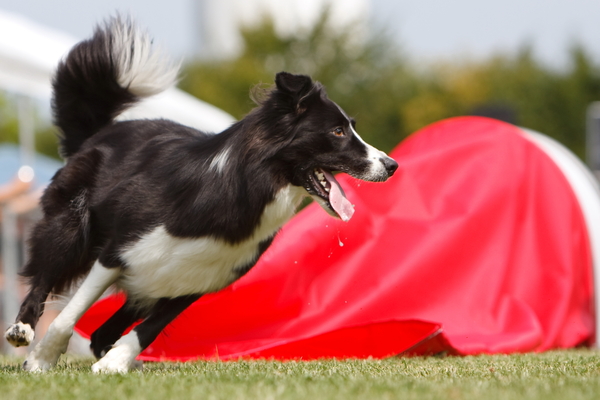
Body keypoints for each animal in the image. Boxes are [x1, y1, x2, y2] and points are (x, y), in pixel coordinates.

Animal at [5, 15, 398, 372]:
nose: (392, 165)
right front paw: (41, 360)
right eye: (337, 132)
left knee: (103, 332)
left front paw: (116, 363)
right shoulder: (118, 252)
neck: (245, 187)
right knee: (43, 279)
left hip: (151, 280)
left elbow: (148, 330)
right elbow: (68, 316)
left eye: (351, 128)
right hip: (71, 227)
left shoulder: (197, 278)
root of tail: (99, 133)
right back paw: (22, 330)